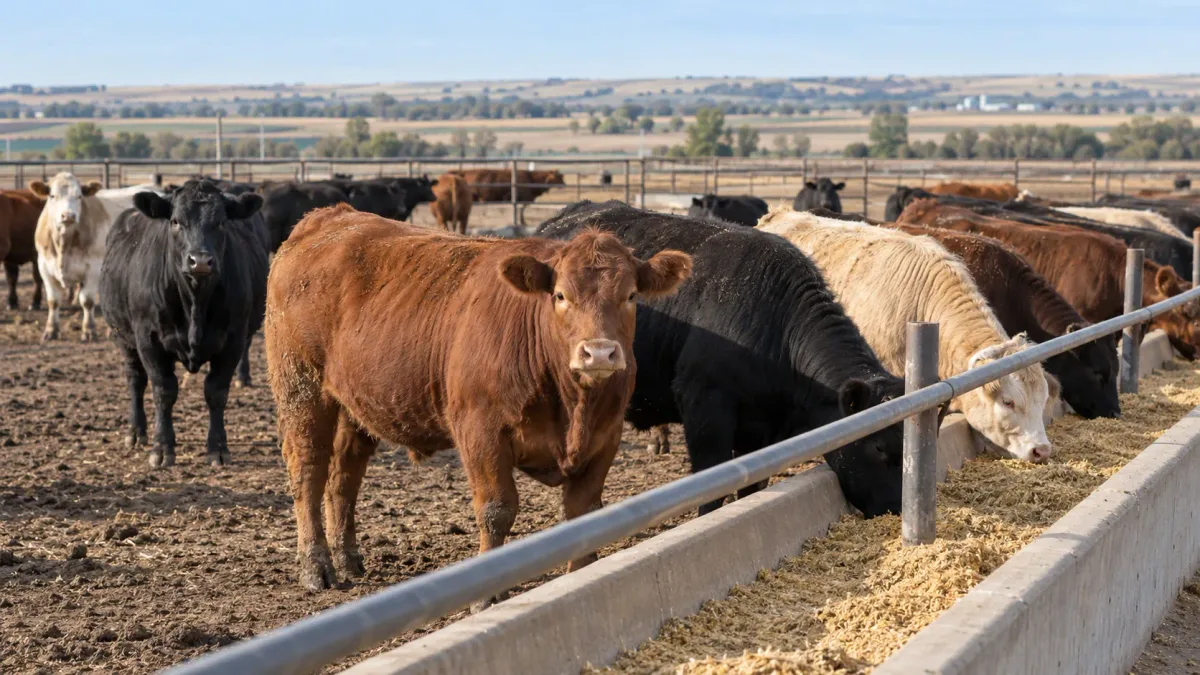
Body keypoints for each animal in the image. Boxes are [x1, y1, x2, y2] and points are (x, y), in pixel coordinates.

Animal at [30, 174, 149, 341]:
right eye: (52, 196)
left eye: (79, 196)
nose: (68, 215)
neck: (64, 244)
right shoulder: (45, 267)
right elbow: (53, 301)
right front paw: (51, 330)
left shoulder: (93, 269)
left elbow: (87, 301)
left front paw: (89, 330)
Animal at [100, 180, 269, 468]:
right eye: (176, 221)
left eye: (221, 222)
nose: (199, 260)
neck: (195, 303)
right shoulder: (148, 340)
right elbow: (163, 390)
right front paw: (162, 448)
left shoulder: (233, 340)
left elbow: (216, 391)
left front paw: (218, 448)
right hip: (123, 337)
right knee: (135, 379)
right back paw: (136, 432)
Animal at [265, 203, 690, 592]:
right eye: (559, 295)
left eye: (631, 295)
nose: (599, 353)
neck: (573, 408)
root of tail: (329, 217)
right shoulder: (480, 433)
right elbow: (496, 510)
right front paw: (486, 596)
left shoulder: (605, 438)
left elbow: (583, 512)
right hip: (301, 387)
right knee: (308, 469)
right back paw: (316, 566)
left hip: (355, 403)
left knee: (345, 474)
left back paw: (348, 558)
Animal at [538, 201, 907, 517]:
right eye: (878, 447)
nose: (897, 507)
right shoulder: (705, 410)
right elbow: (711, 488)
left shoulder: (760, 429)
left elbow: (753, 486)